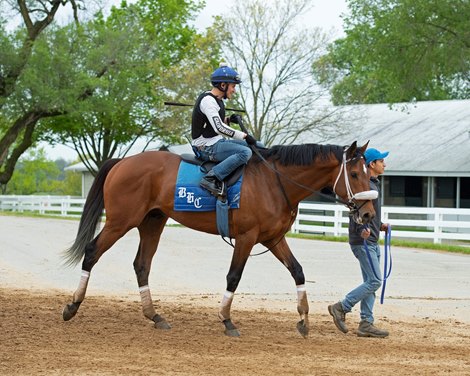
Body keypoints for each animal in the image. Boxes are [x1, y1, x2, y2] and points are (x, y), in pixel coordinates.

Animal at [63, 141, 378, 338]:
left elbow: (298, 271)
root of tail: (123, 162)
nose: (368, 214)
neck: (274, 181)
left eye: (368, 174)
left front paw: (303, 318)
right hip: (120, 222)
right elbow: (233, 277)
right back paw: (72, 306)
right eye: (354, 174)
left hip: (152, 222)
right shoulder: (247, 238)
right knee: (92, 251)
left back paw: (155, 315)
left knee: (142, 265)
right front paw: (226, 319)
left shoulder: (274, 239)